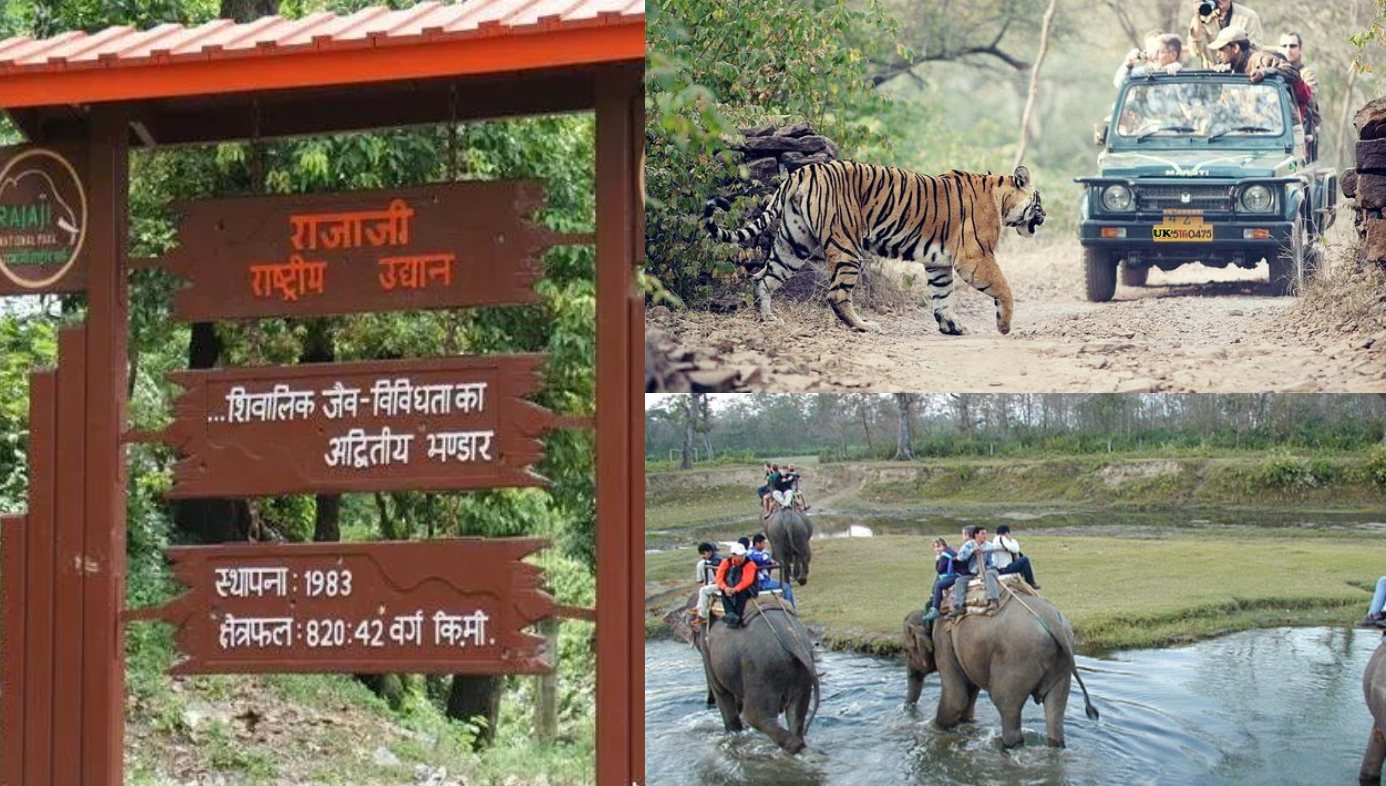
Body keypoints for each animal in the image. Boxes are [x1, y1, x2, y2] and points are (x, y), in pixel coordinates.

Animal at [665, 593, 814, 754]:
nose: (708, 703)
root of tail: (791, 640)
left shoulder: (707, 647)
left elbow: (721, 693)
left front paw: (733, 733)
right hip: (801, 674)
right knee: (797, 716)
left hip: (760, 672)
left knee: (757, 717)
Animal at [709, 160, 1042, 335]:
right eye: (1039, 201)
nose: (1045, 215)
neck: (1001, 200)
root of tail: (802, 171)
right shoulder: (975, 256)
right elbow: (1004, 288)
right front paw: (1004, 326)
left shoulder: (939, 262)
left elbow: (943, 295)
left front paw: (951, 326)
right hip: (847, 247)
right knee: (837, 294)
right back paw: (865, 326)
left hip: (793, 244)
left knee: (763, 278)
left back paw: (767, 318)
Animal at [903, 590, 1097, 748]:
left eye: (906, 651)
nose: (907, 710)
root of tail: (1054, 622)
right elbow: (969, 694)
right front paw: (966, 724)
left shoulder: (943, 641)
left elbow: (955, 699)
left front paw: (932, 729)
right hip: (1062, 665)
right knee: (1055, 712)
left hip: (1016, 659)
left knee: (1006, 706)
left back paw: (1005, 746)